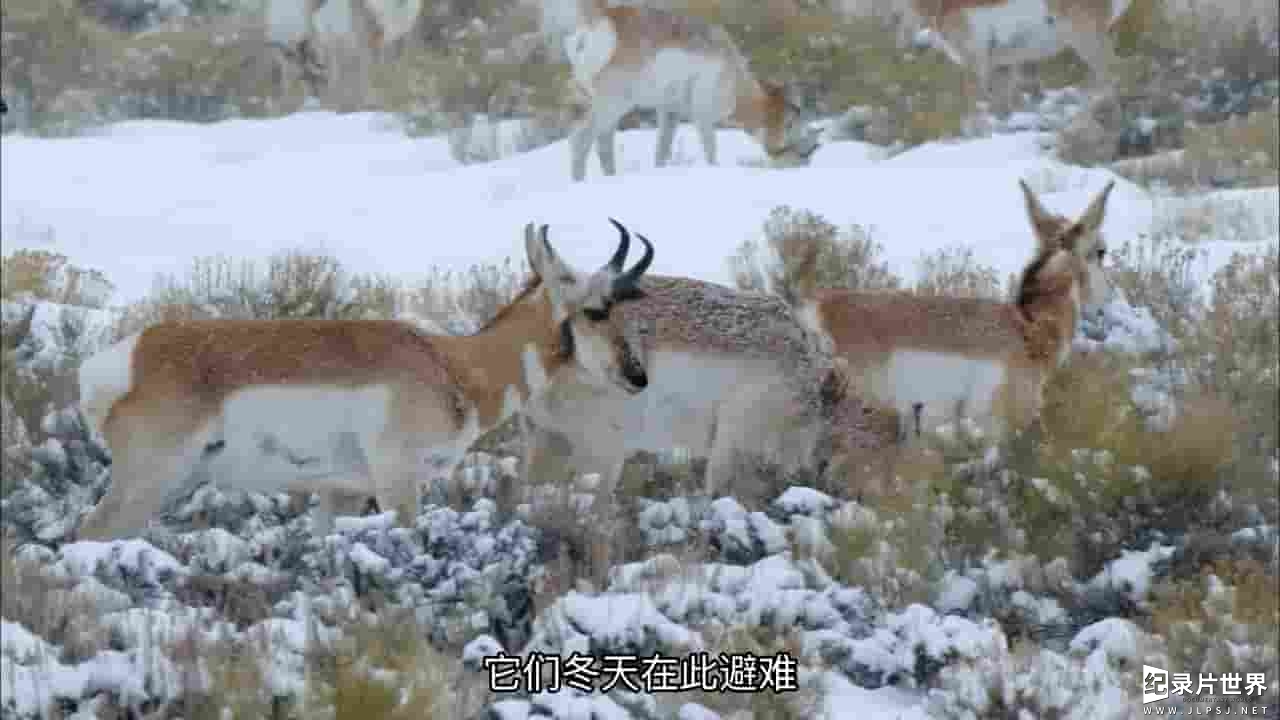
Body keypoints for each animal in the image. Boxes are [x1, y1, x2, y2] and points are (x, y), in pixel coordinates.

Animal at [74, 219, 655, 538]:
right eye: (598, 310)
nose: (638, 376)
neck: (452, 363)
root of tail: (129, 355)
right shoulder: (397, 482)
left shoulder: (342, 494)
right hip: (149, 480)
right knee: (91, 532)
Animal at [560, 0, 819, 181]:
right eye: (792, 125)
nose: (803, 165)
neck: (735, 75)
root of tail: (605, 19)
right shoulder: (703, 117)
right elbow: (711, 151)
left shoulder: (669, 114)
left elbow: (662, 152)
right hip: (613, 104)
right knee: (582, 138)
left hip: (601, 105)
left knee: (601, 143)